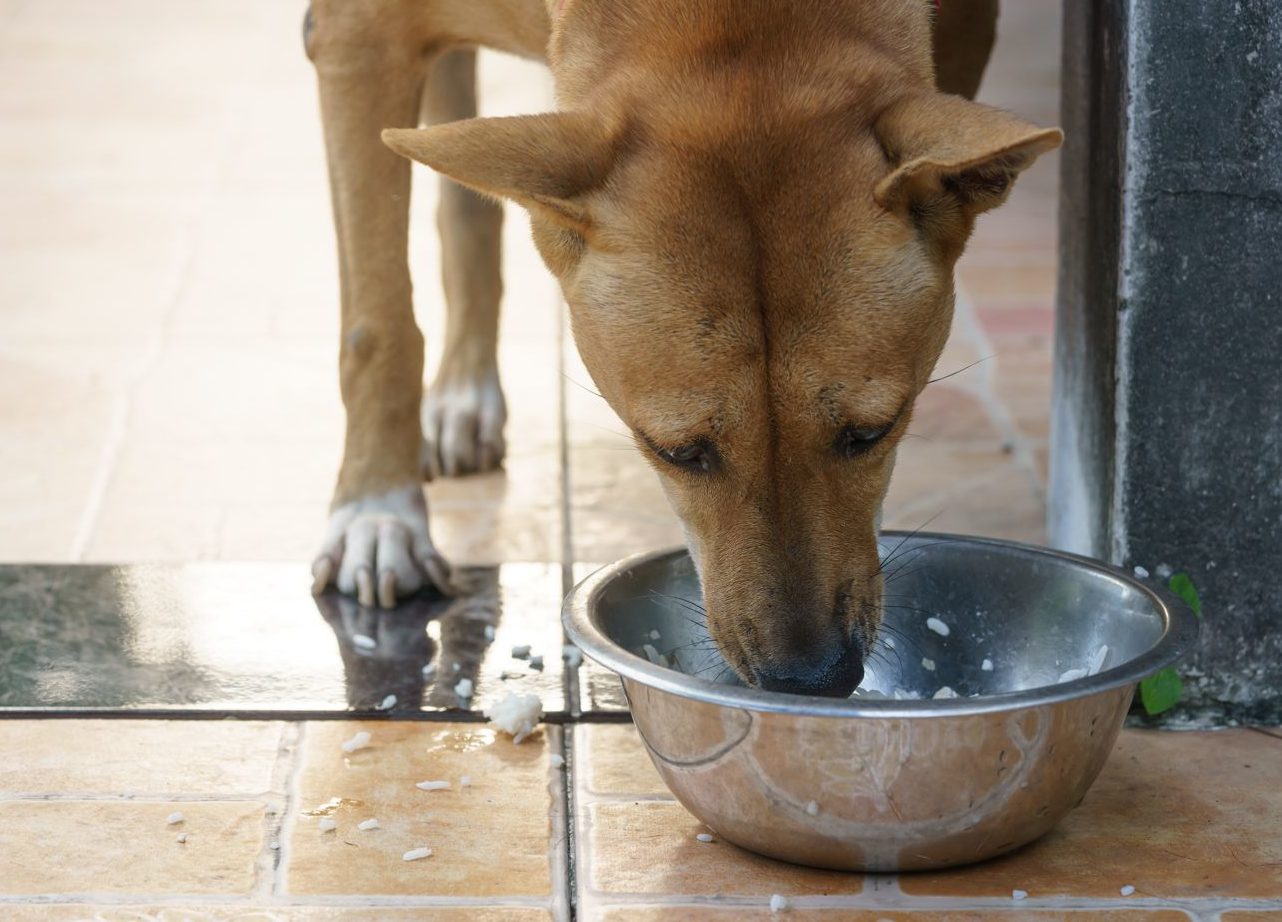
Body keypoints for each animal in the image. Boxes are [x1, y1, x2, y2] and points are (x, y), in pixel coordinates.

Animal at [305, 0, 1056, 697]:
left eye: (874, 432)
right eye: (674, 452)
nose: (812, 679)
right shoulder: (356, 37)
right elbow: (378, 326)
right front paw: (377, 516)